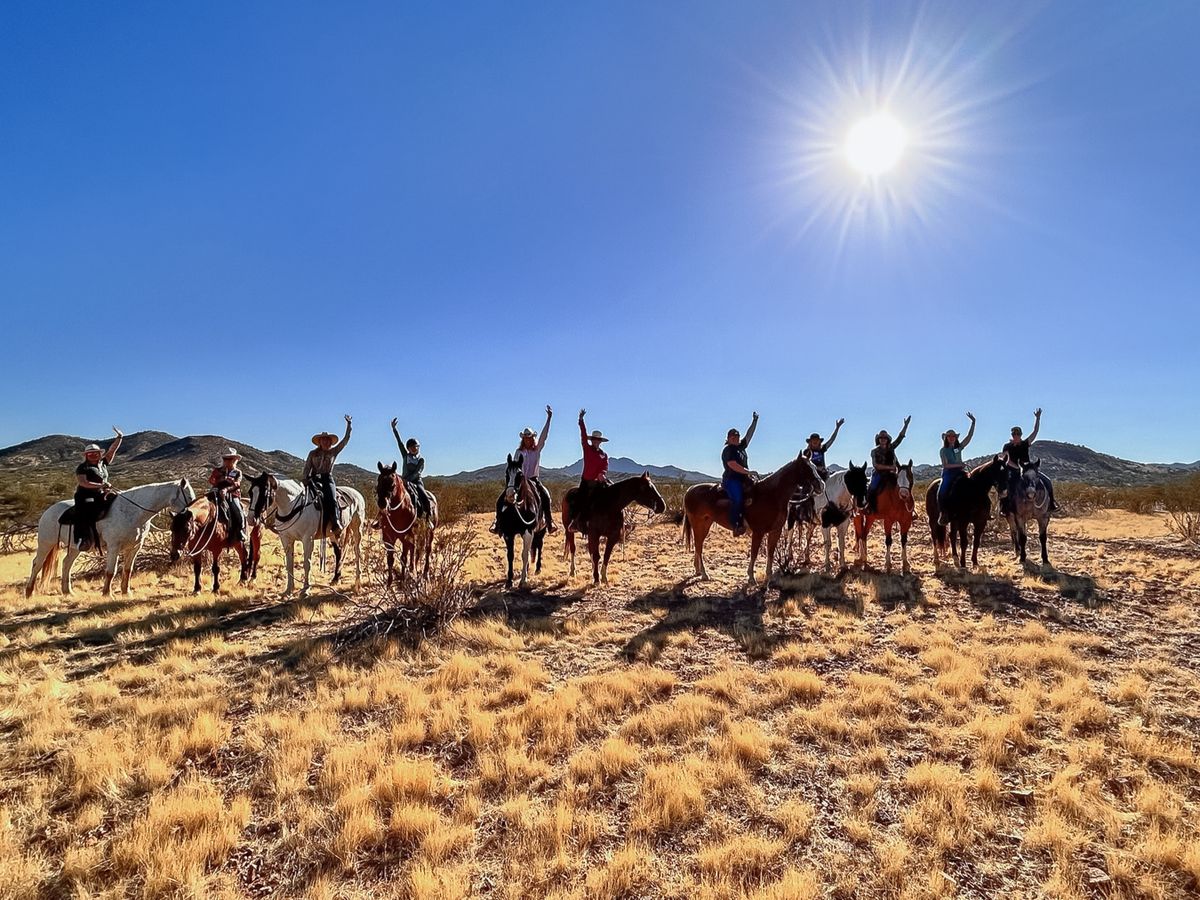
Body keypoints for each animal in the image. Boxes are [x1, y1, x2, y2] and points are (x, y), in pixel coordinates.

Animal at [24, 480, 194, 600]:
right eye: (189, 496)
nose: (191, 515)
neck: (133, 511)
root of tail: (47, 512)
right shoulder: (114, 546)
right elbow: (111, 571)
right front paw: (107, 594)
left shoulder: (134, 547)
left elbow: (128, 570)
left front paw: (126, 592)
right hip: (46, 543)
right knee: (37, 564)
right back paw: (29, 592)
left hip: (74, 548)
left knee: (66, 564)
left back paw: (67, 592)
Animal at [496, 451, 549, 592]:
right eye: (506, 474)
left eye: (520, 475)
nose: (509, 495)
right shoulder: (508, 533)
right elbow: (511, 555)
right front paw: (509, 581)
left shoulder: (528, 532)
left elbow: (524, 554)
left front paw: (523, 581)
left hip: (541, 531)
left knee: (539, 546)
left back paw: (537, 568)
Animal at [686, 453, 825, 588]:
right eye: (806, 468)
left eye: (814, 466)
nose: (821, 485)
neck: (772, 495)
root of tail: (689, 490)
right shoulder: (758, 531)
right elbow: (754, 553)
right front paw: (751, 578)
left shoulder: (776, 531)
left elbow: (770, 552)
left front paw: (767, 580)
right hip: (698, 524)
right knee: (698, 546)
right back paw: (704, 574)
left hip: (705, 524)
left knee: (698, 545)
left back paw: (698, 570)